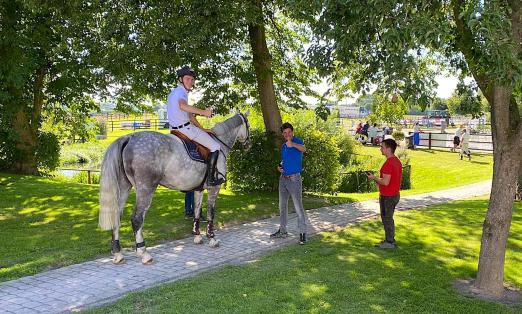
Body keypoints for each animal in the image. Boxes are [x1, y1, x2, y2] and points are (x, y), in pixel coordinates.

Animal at [100, 111, 252, 264]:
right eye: (249, 126)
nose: (249, 145)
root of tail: (128, 138)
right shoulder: (214, 188)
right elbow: (211, 213)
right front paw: (212, 238)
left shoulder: (198, 189)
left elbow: (197, 211)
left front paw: (197, 236)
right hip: (145, 189)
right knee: (137, 219)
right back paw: (143, 253)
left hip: (124, 187)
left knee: (117, 215)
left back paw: (118, 253)